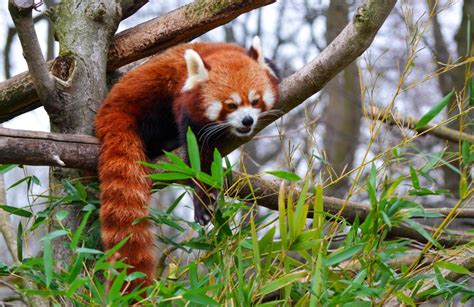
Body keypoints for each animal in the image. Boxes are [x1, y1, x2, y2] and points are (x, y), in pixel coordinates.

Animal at [95, 36, 278, 292]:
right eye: (231, 105)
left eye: (255, 100)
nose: (247, 121)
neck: (221, 51)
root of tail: (108, 108)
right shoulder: (186, 106)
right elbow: (198, 155)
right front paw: (203, 201)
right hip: (149, 99)